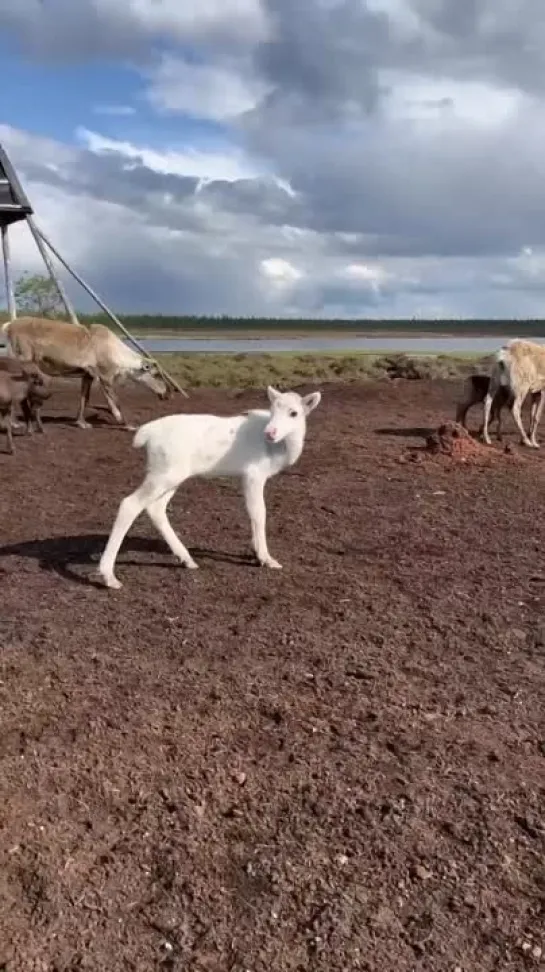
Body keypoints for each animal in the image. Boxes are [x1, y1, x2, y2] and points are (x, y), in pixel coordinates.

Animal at [98, 384, 320, 588]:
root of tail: (145, 435)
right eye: (273, 409)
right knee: (130, 504)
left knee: (155, 508)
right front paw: (265, 558)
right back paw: (109, 576)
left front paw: (256, 552)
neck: (279, 451)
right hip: (164, 472)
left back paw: (186, 558)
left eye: (294, 413)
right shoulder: (253, 474)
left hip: (171, 474)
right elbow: (259, 512)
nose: (270, 432)